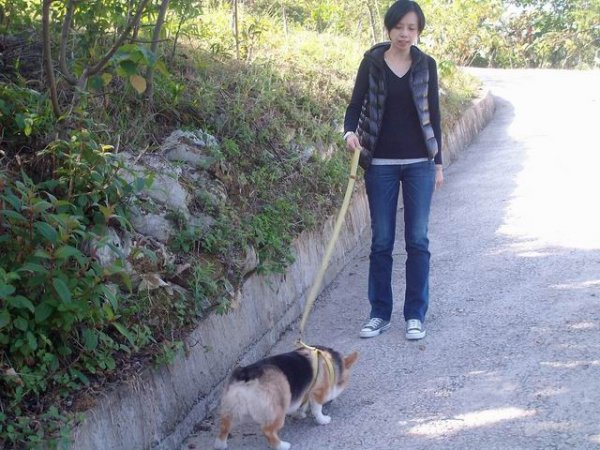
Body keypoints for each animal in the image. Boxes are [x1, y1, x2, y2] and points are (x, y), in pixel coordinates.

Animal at [214, 344, 359, 449]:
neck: (331, 364)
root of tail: (247, 375)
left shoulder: (305, 393)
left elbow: (302, 405)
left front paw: (300, 414)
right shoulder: (317, 392)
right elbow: (317, 409)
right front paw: (323, 419)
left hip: (230, 409)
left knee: (224, 427)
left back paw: (220, 445)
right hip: (278, 411)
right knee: (268, 431)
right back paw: (282, 446)